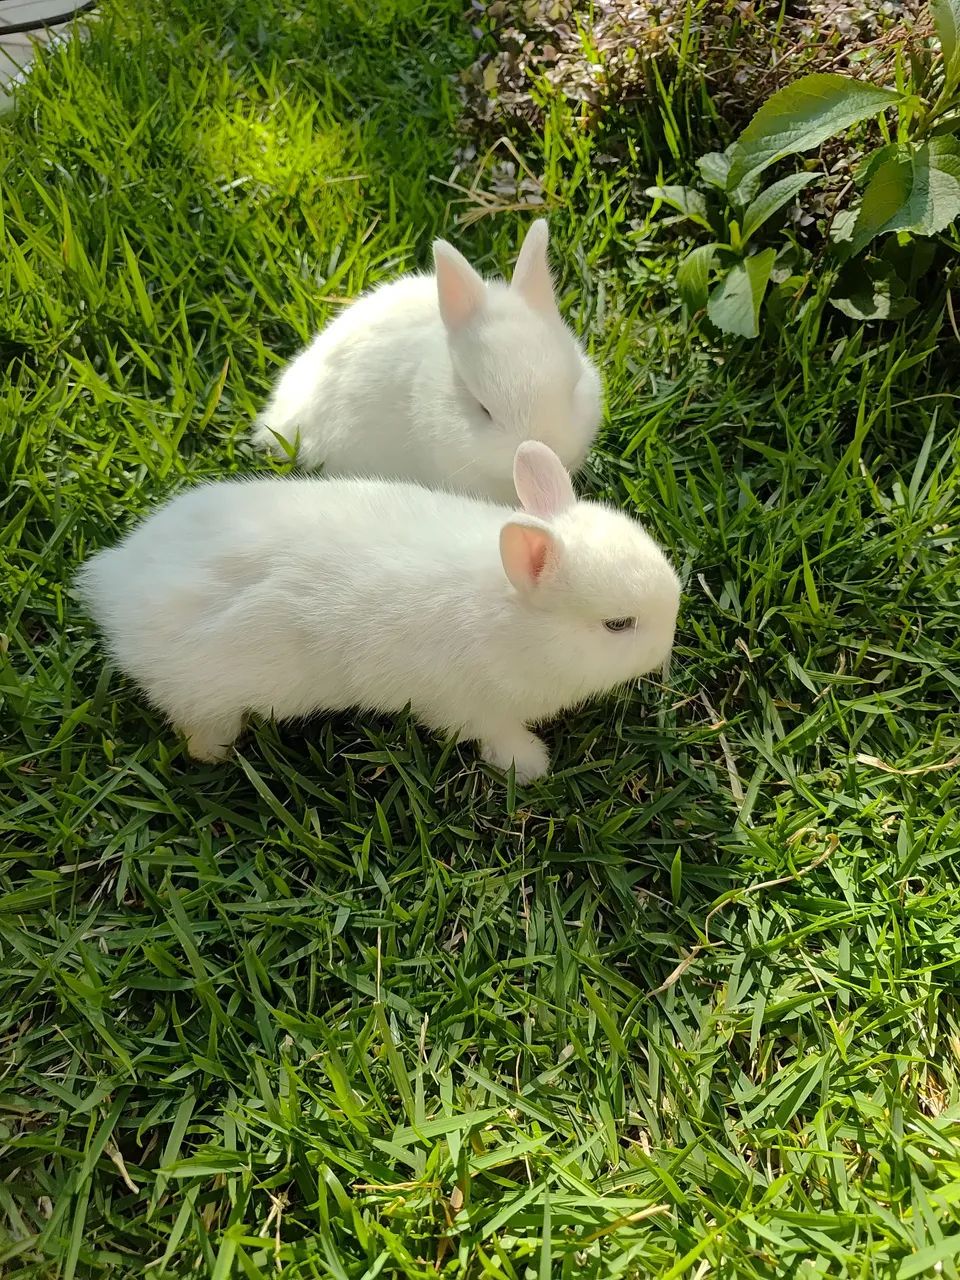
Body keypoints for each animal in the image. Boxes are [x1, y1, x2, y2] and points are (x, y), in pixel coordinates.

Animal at [77, 442, 679, 783]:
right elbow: (498, 736)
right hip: (206, 695)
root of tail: (112, 584)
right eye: (618, 625)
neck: (509, 613)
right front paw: (530, 766)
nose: (668, 646)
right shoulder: (471, 707)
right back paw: (219, 755)